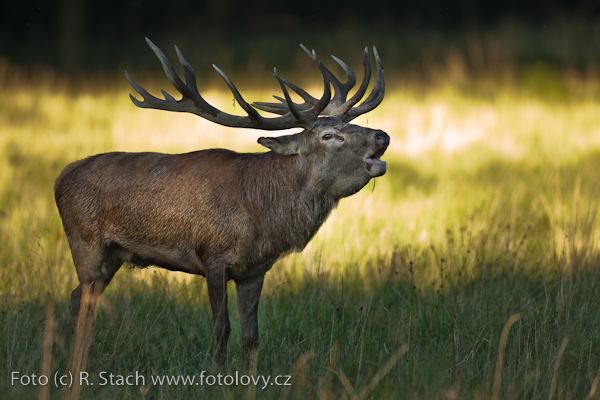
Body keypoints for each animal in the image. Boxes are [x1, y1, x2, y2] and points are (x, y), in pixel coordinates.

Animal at [55, 39, 390, 364]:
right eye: (329, 135)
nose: (382, 136)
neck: (262, 218)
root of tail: (61, 177)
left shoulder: (255, 270)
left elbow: (251, 336)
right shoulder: (212, 255)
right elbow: (222, 327)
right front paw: (219, 371)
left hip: (113, 255)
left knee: (78, 297)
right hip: (84, 240)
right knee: (82, 299)